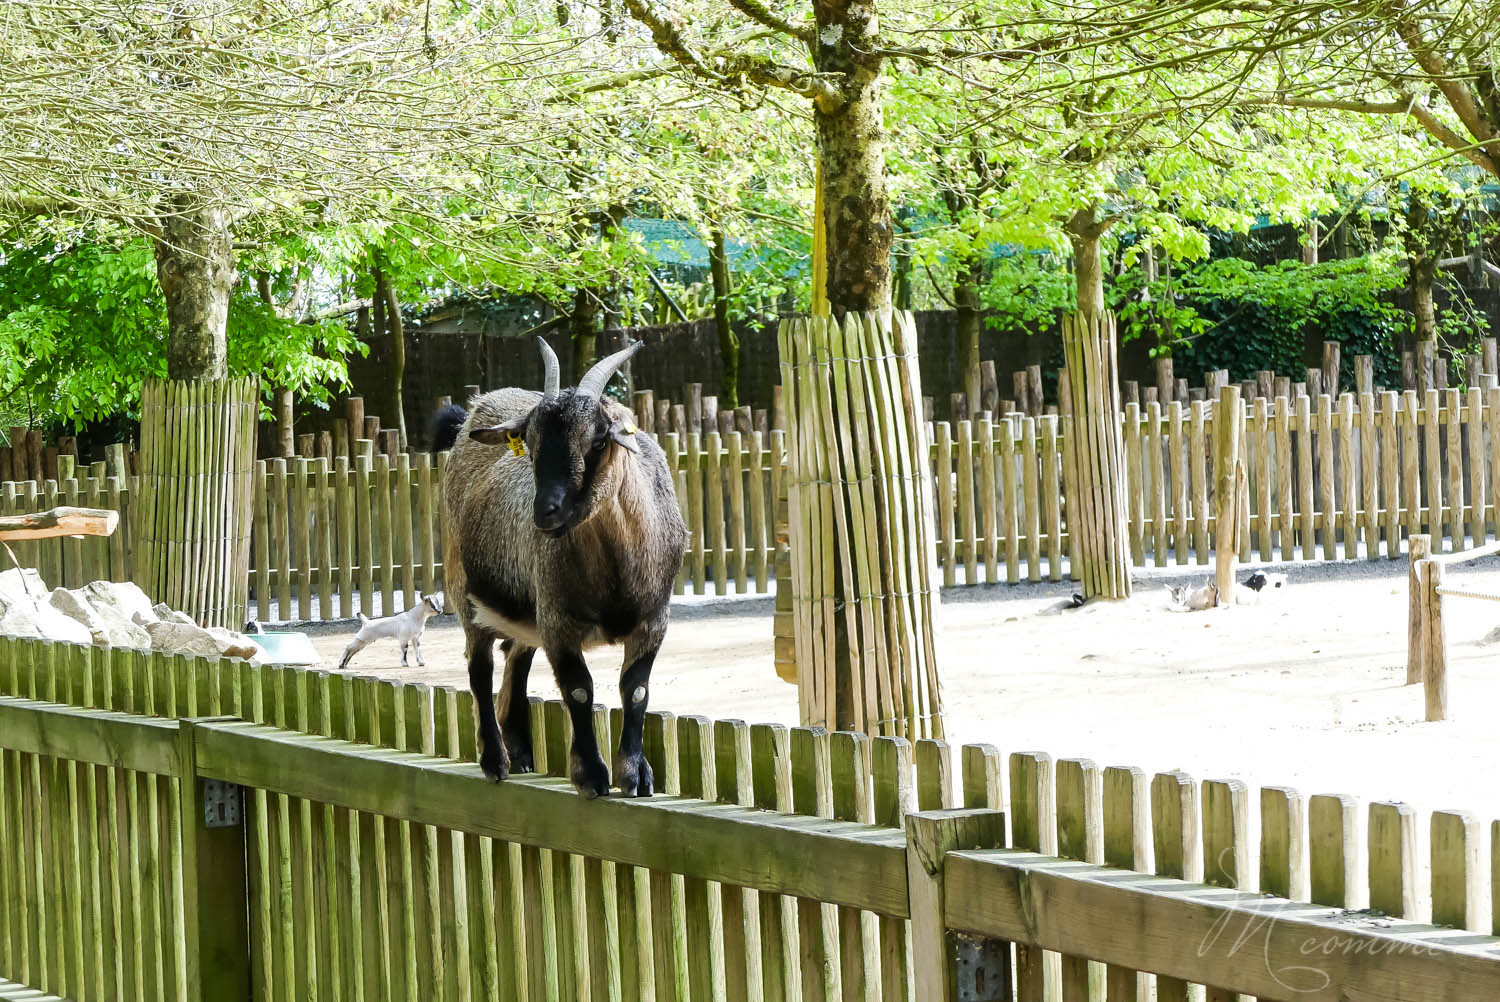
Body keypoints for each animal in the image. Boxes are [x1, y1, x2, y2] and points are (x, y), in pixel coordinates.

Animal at [439, 339, 688, 798]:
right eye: (530, 441)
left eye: (599, 440)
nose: (545, 511)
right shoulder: (558, 621)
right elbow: (578, 691)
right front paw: (591, 775)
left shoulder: (653, 619)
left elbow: (635, 689)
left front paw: (636, 775)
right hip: (463, 586)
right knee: (479, 668)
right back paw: (495, 760)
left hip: (526, 609)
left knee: (516, 658)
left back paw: (519, 751)